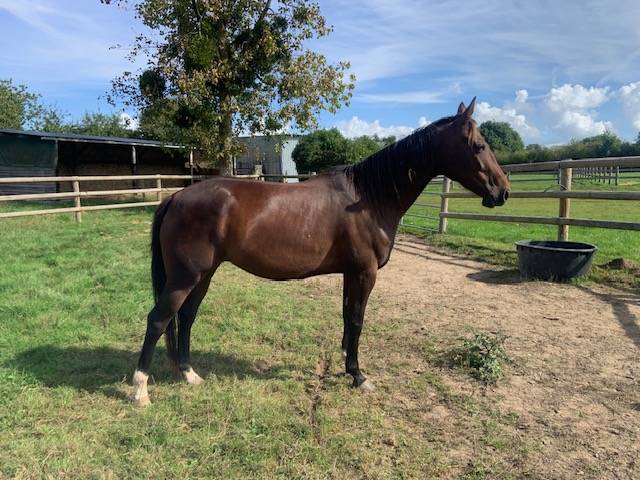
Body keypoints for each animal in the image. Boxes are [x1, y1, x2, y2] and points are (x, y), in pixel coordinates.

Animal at [131, 98, 510, 406]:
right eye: (479, 145)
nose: (503, 191)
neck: (369, 198)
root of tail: (176, 197)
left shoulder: (350, 272)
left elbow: (347, 316)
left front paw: (346, 364)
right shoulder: (365, 272)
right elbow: (357, 319)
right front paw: (358, 375)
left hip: (203, 275)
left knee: (186, 317)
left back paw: (189, 374)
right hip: (185, 277)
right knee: (158, 320)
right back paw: (140, 390)